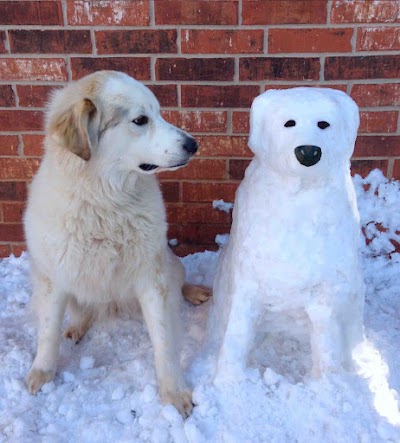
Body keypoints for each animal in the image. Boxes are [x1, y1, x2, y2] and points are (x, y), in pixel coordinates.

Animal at [23, 69, 211, 416]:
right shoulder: (54, 279)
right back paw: (76, 327)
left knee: (179, 281)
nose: (194, 144)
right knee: (81, 311)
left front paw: (173, 392)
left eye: (159, 113)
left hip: (169, 262)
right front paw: (42, 372)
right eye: (140, 120)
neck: (105, 199)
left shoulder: (152, 278)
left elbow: (164, 341)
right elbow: (47, 332)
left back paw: (194, 291)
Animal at [208, 87, 364, 382]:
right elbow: (237, 334)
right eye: (289, 123)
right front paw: (228, 382)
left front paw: (327, 383)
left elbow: (326, 340)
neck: (299, 195)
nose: (308, 151)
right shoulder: (248, 284)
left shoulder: (324, 295)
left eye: (323, 124)